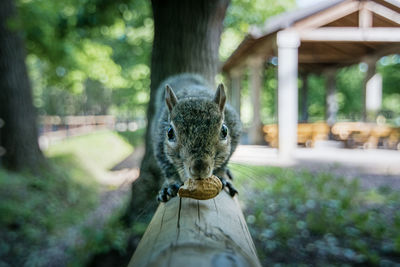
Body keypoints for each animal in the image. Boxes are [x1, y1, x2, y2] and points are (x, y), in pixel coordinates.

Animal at [152, 74, 241, 203]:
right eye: (169, 133)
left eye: (224, 131)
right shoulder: (158, 139)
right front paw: (170, 185)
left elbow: (225, 160)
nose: (199, 168)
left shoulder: (235, 128)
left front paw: (221, 176)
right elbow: (167, 166)